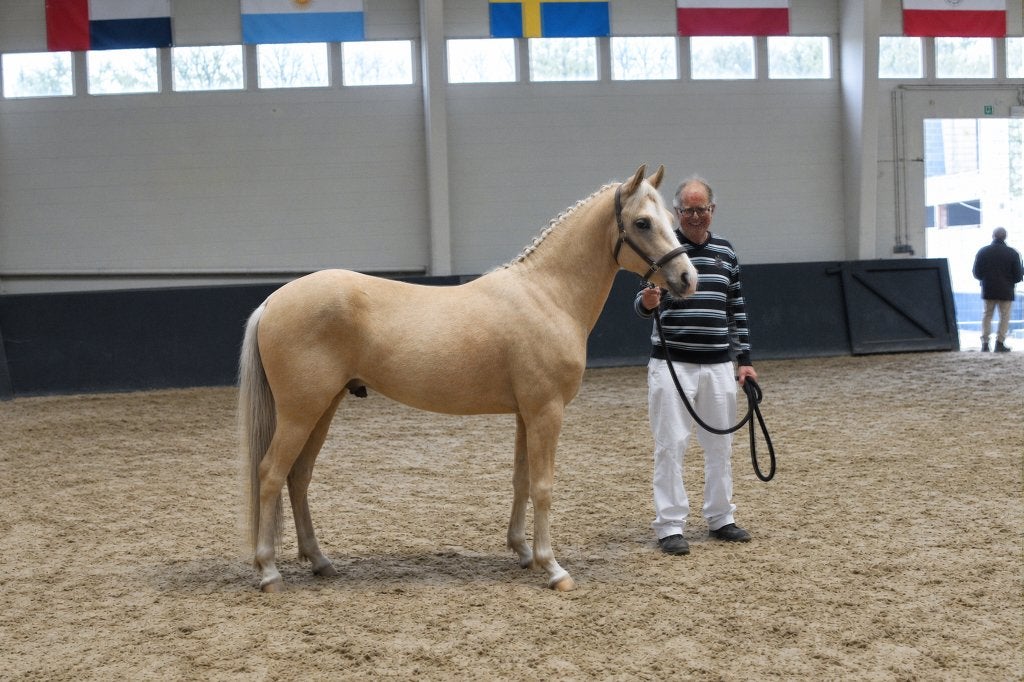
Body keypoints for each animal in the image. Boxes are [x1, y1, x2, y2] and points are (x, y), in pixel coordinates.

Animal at [238, 165, 698, 592]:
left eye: (670, 219)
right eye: (643, 222)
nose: (687, 279)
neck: (548, 296)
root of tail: (272, 301)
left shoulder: (526, 413)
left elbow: (521, 480)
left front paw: (523, 552)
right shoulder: (546, 411)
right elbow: (543, 486)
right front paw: (553, 568)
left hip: (323, 408)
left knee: (298, 477)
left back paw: (320, 561)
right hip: (300, 412)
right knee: (270, 474)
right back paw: (270, 572)